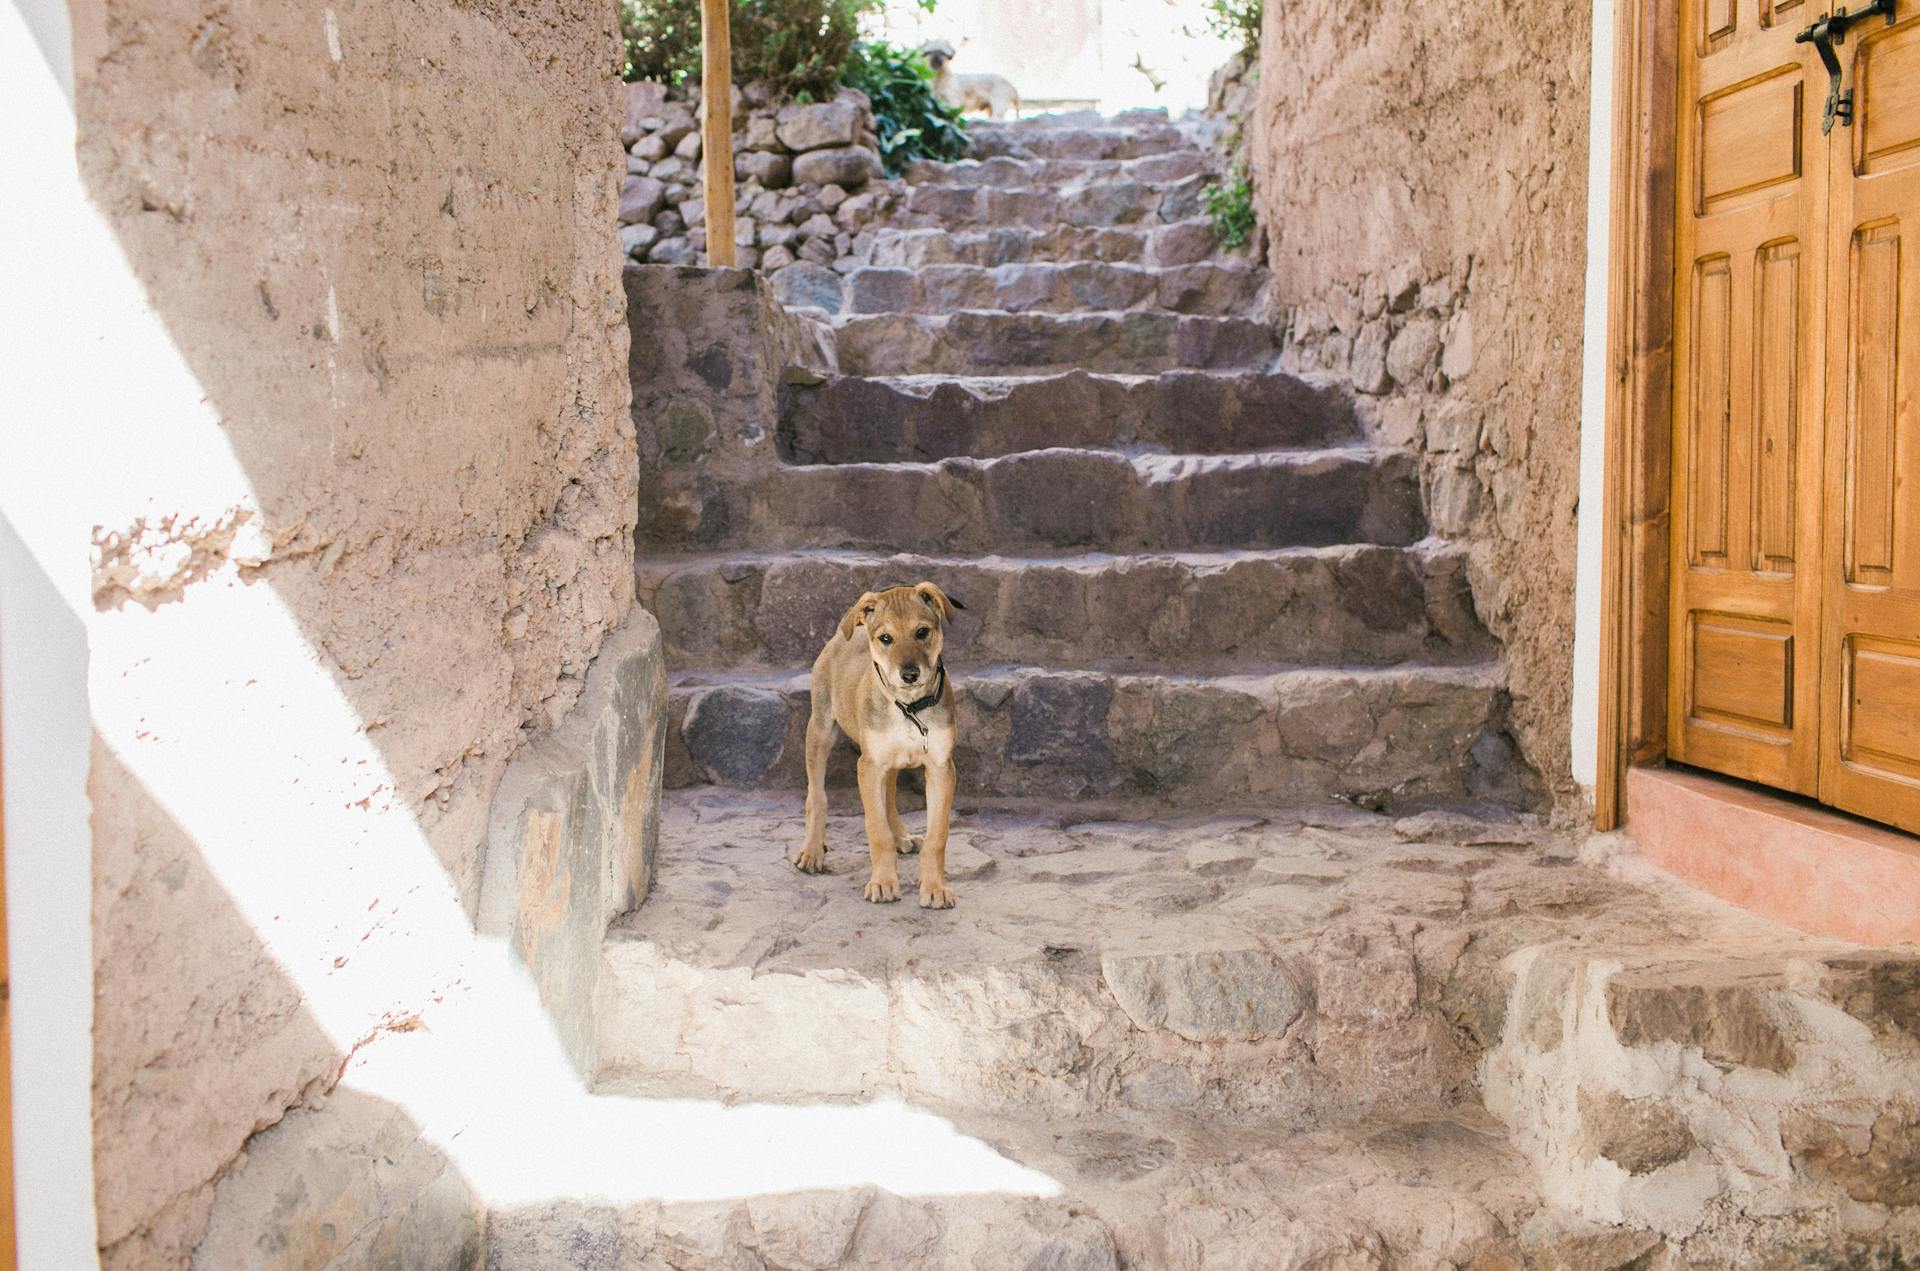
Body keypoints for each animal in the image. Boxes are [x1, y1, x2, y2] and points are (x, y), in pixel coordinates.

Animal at [798, 583, 967, 910]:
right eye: (886, 638)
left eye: (922, 632)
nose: (910, 674)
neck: (910, 708)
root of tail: (848, 631)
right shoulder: (868, 766)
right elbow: (877, 832)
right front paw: (883, 883)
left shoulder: (940, 767)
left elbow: (936, 836)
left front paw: (935, 888)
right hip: (821, 729)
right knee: (817, 795)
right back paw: (812, 851)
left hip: (889, 761)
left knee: (889, 796)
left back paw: (901, 837)